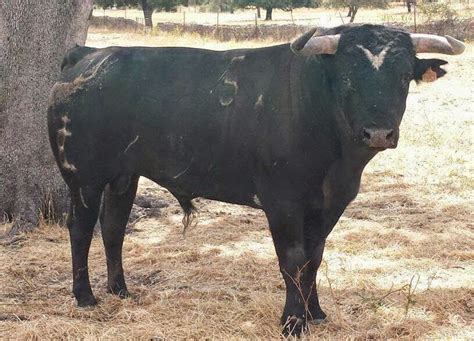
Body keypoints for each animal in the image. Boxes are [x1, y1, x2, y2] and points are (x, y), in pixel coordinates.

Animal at [47, 24, 462, 334]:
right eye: (346, 77)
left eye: (404, 76)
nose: (378, 133)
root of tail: (90, 54)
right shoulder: (282, 202)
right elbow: (293, 259)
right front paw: (293, 321)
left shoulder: (330, 204)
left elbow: (315, 257)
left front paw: (316, 313)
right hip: (83, 176)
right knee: (81, 228)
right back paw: (85, 296)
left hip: (124, 174)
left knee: (113, 226)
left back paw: (120, 289)